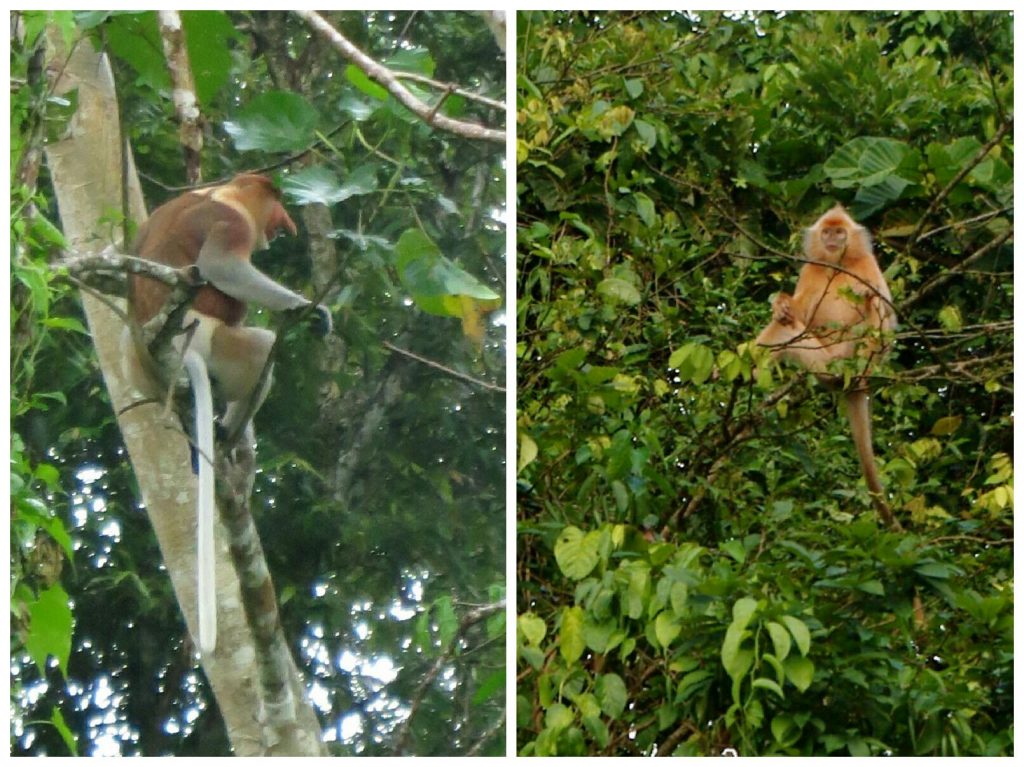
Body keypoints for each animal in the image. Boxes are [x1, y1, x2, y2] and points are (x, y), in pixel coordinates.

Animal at [125, 173, 329, 651]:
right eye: (275, 204)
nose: (287, 224)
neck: (220, 192)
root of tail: (171, 355)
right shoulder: (229, 222)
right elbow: (221, 268)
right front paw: (306, 309)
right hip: (213, 341)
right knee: (259, 347)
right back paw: (228, 432)